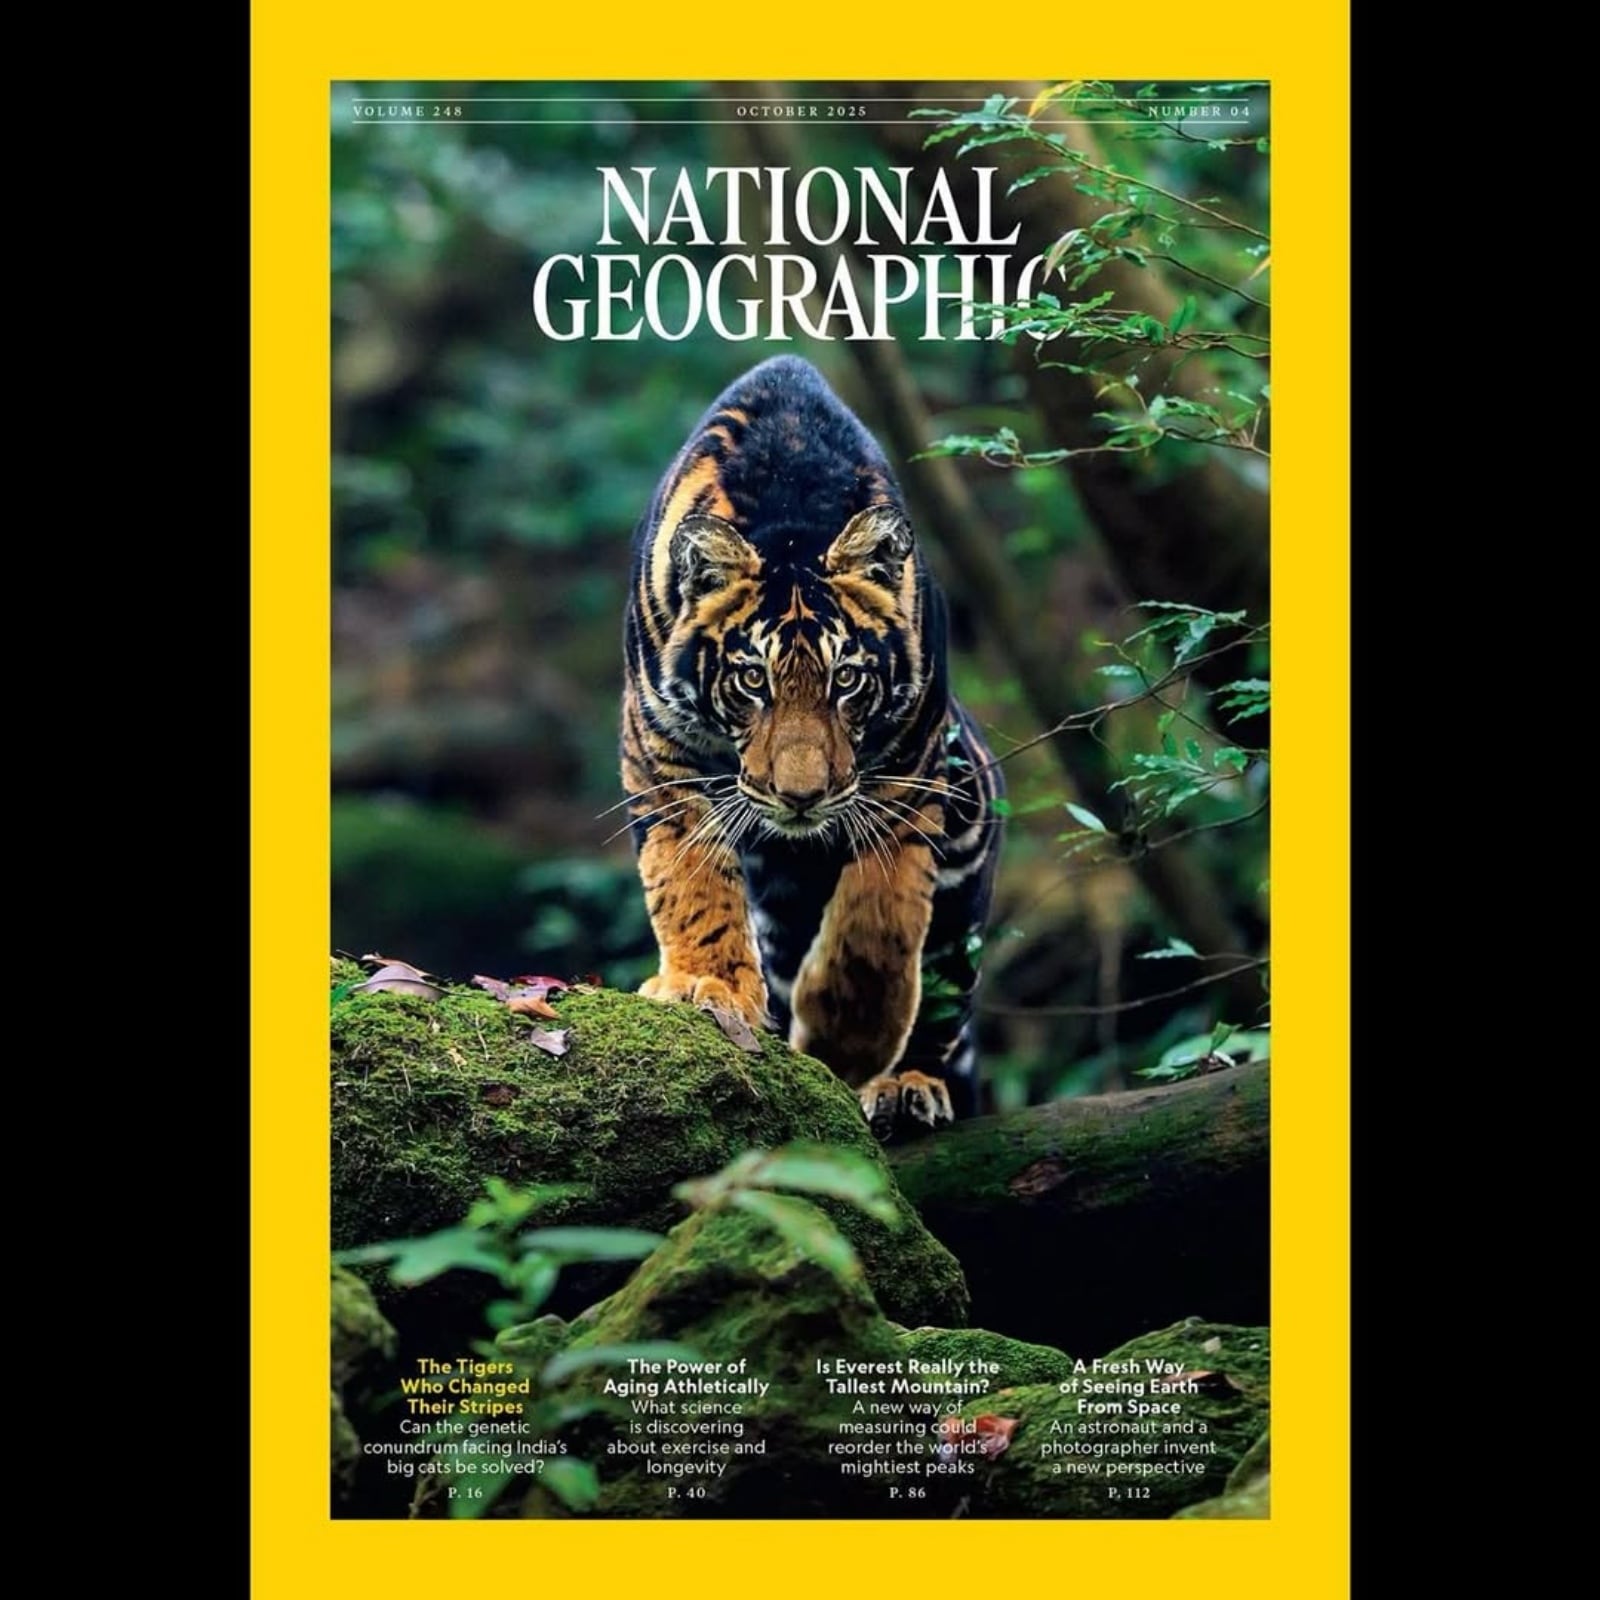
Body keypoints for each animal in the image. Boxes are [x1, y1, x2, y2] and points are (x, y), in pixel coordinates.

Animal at [620, 355, 1004, 1139]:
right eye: (752, 680)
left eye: (846, 679)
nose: (801, 797)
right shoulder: (660, 752)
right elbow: (690, 882)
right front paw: (705, 986)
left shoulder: (911, 770)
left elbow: (881, 917)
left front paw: (848, 1038)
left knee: (943, 989)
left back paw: (907, 1084)